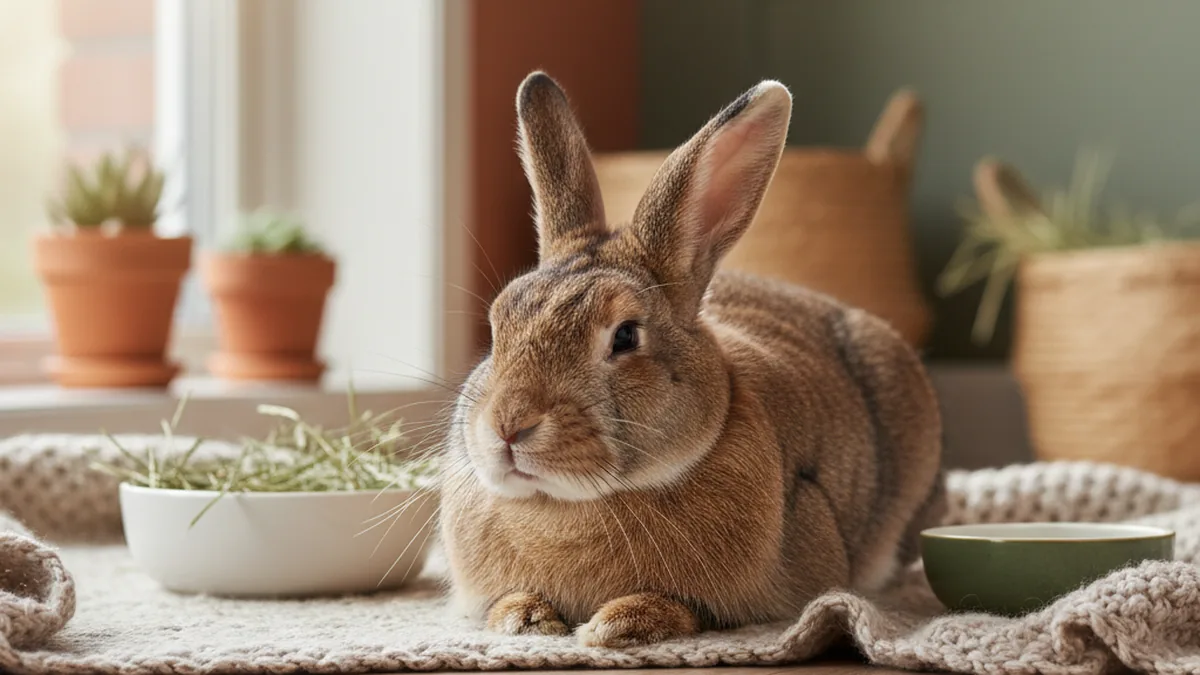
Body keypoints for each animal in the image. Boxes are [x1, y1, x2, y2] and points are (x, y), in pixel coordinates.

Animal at [438, 71, 945, 648]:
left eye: (625, 337)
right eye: (498, 324)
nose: (508, 426)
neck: (567, 504)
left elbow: (690, 610)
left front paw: (620, 623)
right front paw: (525, 618)